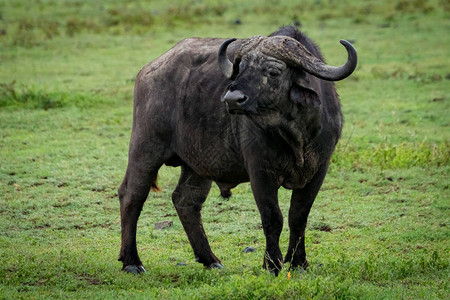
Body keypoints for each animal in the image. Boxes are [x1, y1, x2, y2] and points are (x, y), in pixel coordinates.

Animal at [118, 26, 356, 276]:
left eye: (274, 72)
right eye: (240, 68)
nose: (232, 99)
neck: (295, 135)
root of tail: (149, 71)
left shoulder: (319, 169)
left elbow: (298, 217)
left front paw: (299, 262)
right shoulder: (260, 171)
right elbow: (273, 217)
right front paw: (272, 264)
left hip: (198, 165)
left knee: (186, 200)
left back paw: (210, 259)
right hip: (145, 147)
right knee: (131, 195)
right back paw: (132, 261)